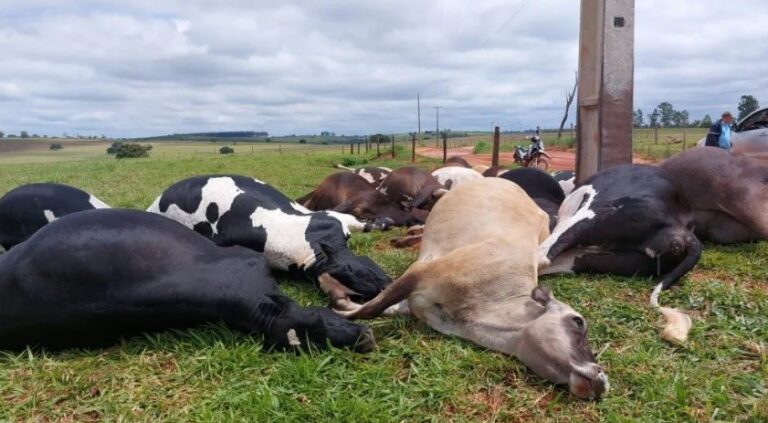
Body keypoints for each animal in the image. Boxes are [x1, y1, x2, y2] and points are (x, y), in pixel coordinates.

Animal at [148, 175, 392, 304]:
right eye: (351, 273)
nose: (386, 284)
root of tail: (156, 200)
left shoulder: (332, 218)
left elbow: (361, 222)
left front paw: (383, 222)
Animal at [335, 178, 608, 400]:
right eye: (578, 322)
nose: (602, 378)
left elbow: (382, 306)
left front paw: (343, 304)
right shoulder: (420, 271)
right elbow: (372, 308)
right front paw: (341, 313)